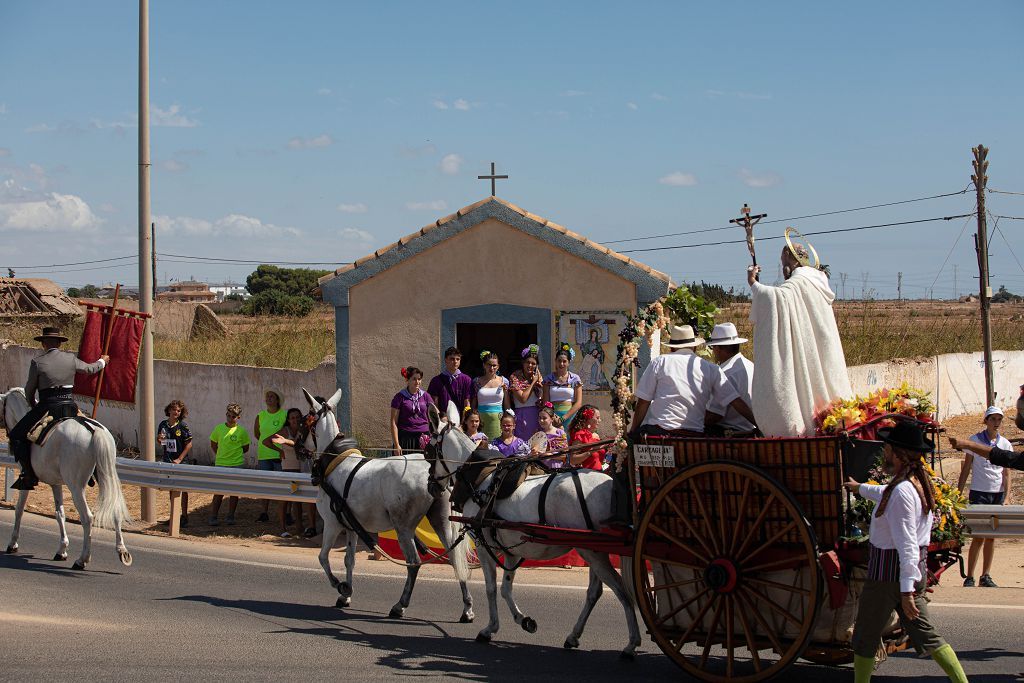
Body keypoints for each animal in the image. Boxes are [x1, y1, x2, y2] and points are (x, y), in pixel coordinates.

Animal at [0, 387, 134, 569]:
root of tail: (93, 429)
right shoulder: (55, 483)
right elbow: (59, 513)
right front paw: (62, 549)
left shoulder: (26, 482)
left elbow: (19, 509)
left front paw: (13, 543)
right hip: (107, 477)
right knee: (115, 510)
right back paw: (122, 551)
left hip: (76, 487)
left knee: (87, 518)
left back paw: (82, 559)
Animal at [301, 387, 473, 622]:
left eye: (305, 422)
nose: (299, 447)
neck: (335, 462)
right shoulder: (351, 527)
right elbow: (349, 560)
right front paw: (346, 595)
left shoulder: (332, 524)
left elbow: (323, 557)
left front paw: (341, 586)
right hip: (441, 522)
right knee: (455, 558)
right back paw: (467, 609)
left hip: (403, 528)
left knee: (413, 562)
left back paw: (400, 605)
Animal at [428, 401, 643, 655]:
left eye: (429, 452)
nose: (431, 486)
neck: (481, 479)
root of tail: (611, 484)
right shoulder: (511, 549)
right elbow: (506, 588)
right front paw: (523, 620)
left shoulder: (483, 544)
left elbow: (491, 588)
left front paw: (489, 628)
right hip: (593, 548)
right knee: (595, 592)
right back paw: (574, 636)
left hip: (592, 551)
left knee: (621, 590)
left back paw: (631, 642)